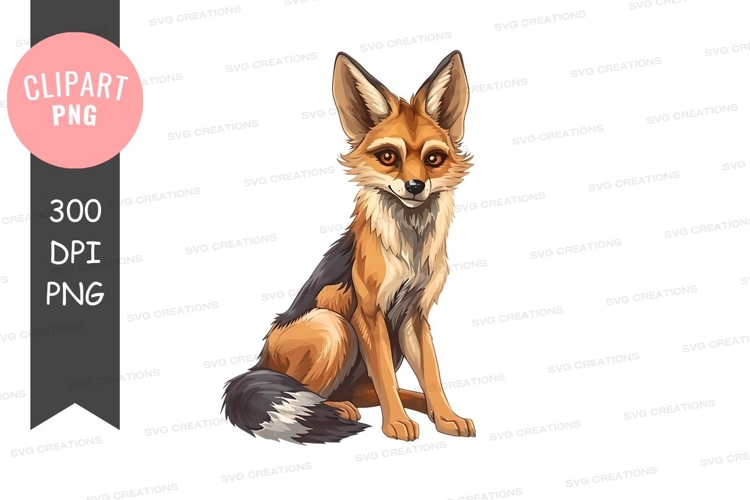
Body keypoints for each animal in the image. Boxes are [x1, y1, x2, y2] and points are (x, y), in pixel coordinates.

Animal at [222, 50, 475, 444]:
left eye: (433, 159)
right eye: (388, 157)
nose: (415, 186)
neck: (409, 251)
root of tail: (258, 365)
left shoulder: (415, 317)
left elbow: (432, 377)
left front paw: (446, 416)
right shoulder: (368, 314)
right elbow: (385, 378)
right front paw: (396, 424)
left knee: (368, 390)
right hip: (334, 327)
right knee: (313, 393)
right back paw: (340, 409)